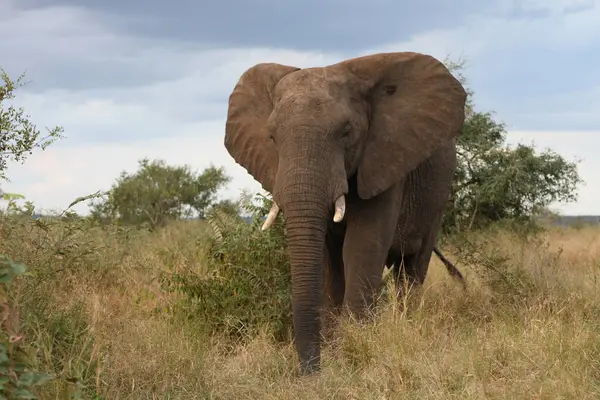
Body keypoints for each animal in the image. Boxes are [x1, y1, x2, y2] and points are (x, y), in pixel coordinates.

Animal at [225, 50, 468, 376]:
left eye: (346, 133)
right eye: (272, 137)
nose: (310, 372)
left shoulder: (383, 160)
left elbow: (360, 247)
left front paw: (354, 349)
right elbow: (328, 260)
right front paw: (335, 351)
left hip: (437, 196)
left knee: (412, 268)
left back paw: (406, 326)